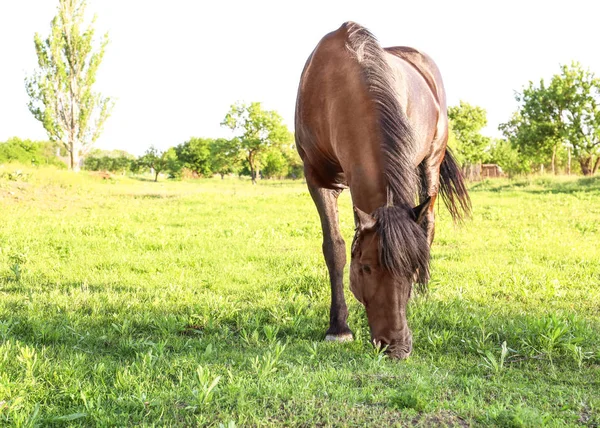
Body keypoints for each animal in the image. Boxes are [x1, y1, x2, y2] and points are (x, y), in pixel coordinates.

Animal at [294, 22, 468, 358]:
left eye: (411, 268)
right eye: (365, 268)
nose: (397, 346)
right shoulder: (317, 179)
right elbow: (334, 248)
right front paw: (339, 328)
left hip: (431, 161)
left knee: (428, 222)